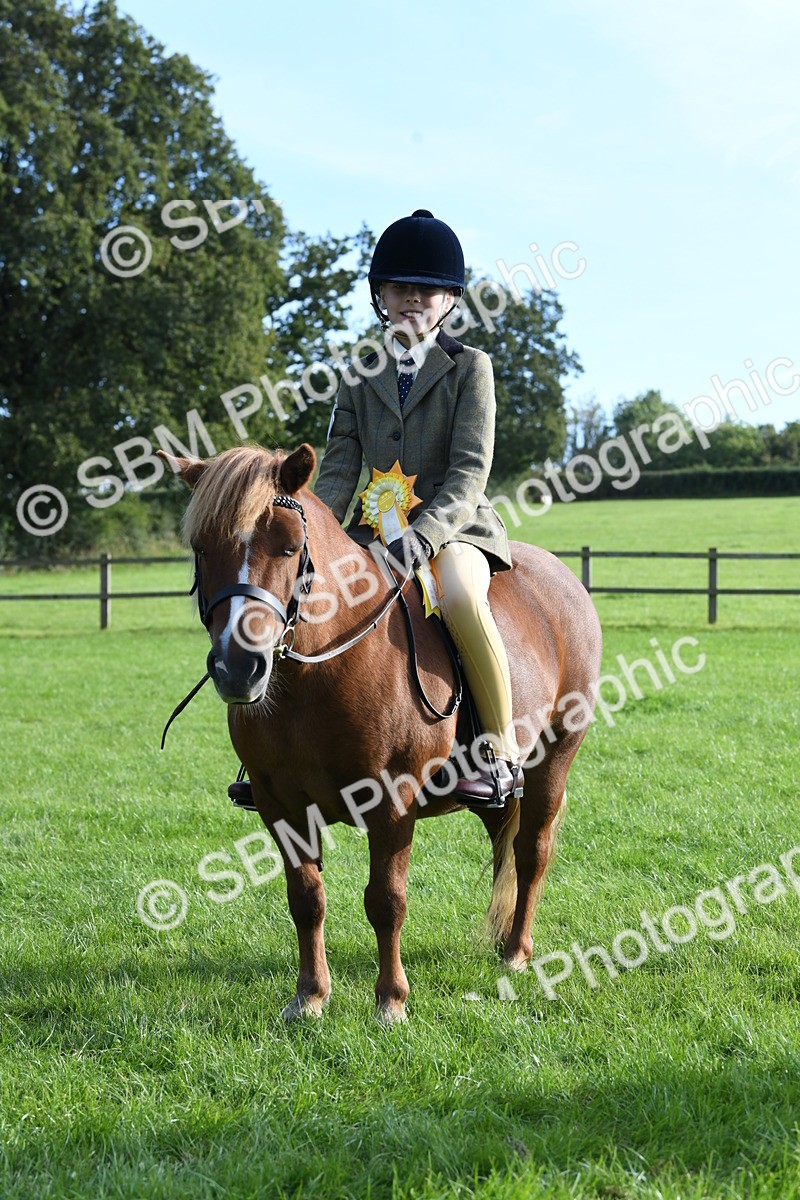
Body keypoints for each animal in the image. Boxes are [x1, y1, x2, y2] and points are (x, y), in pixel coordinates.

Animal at [161, 442, 602, 1022]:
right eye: (202, 548)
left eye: (289, 547)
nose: (238, 669)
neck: (317, 674)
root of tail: (562, 577)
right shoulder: (281, 806)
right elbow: (306, 898)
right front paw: (310, 996)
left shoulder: (392, 802)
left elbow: (386, 900)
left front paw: (391, 1000)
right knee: (503, 842)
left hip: (554, 759)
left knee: (532, 852)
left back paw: (516, 952)